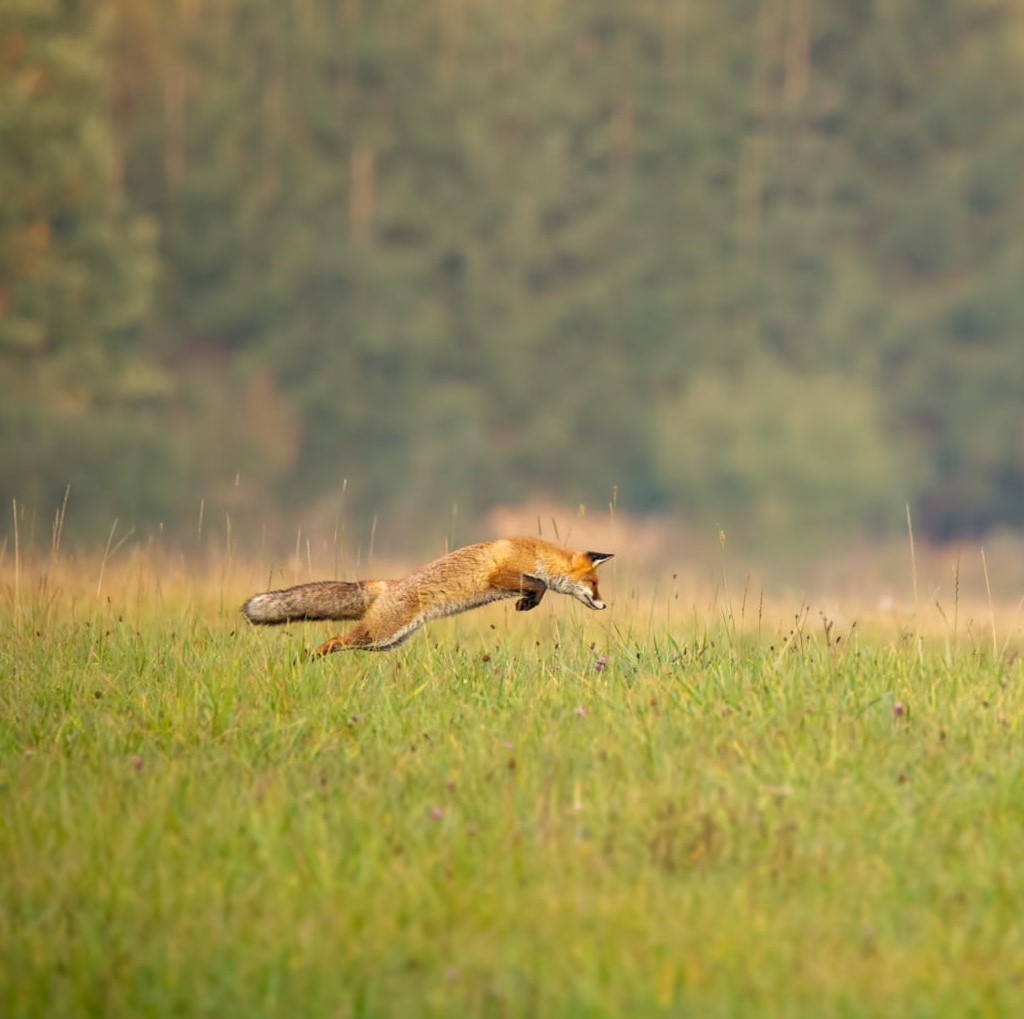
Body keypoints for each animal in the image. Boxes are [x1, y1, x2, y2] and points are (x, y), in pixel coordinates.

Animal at [243, 536, 610, 655]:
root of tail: (388, 583)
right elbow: (540, 585)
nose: (605, 604)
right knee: (333, 640)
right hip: (380, 634)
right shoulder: (501, 574)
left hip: (385, 643)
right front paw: (527, 602)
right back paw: (305, 660)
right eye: (594, 583)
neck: (535, 553)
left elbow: (538, 585)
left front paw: (526, 602)